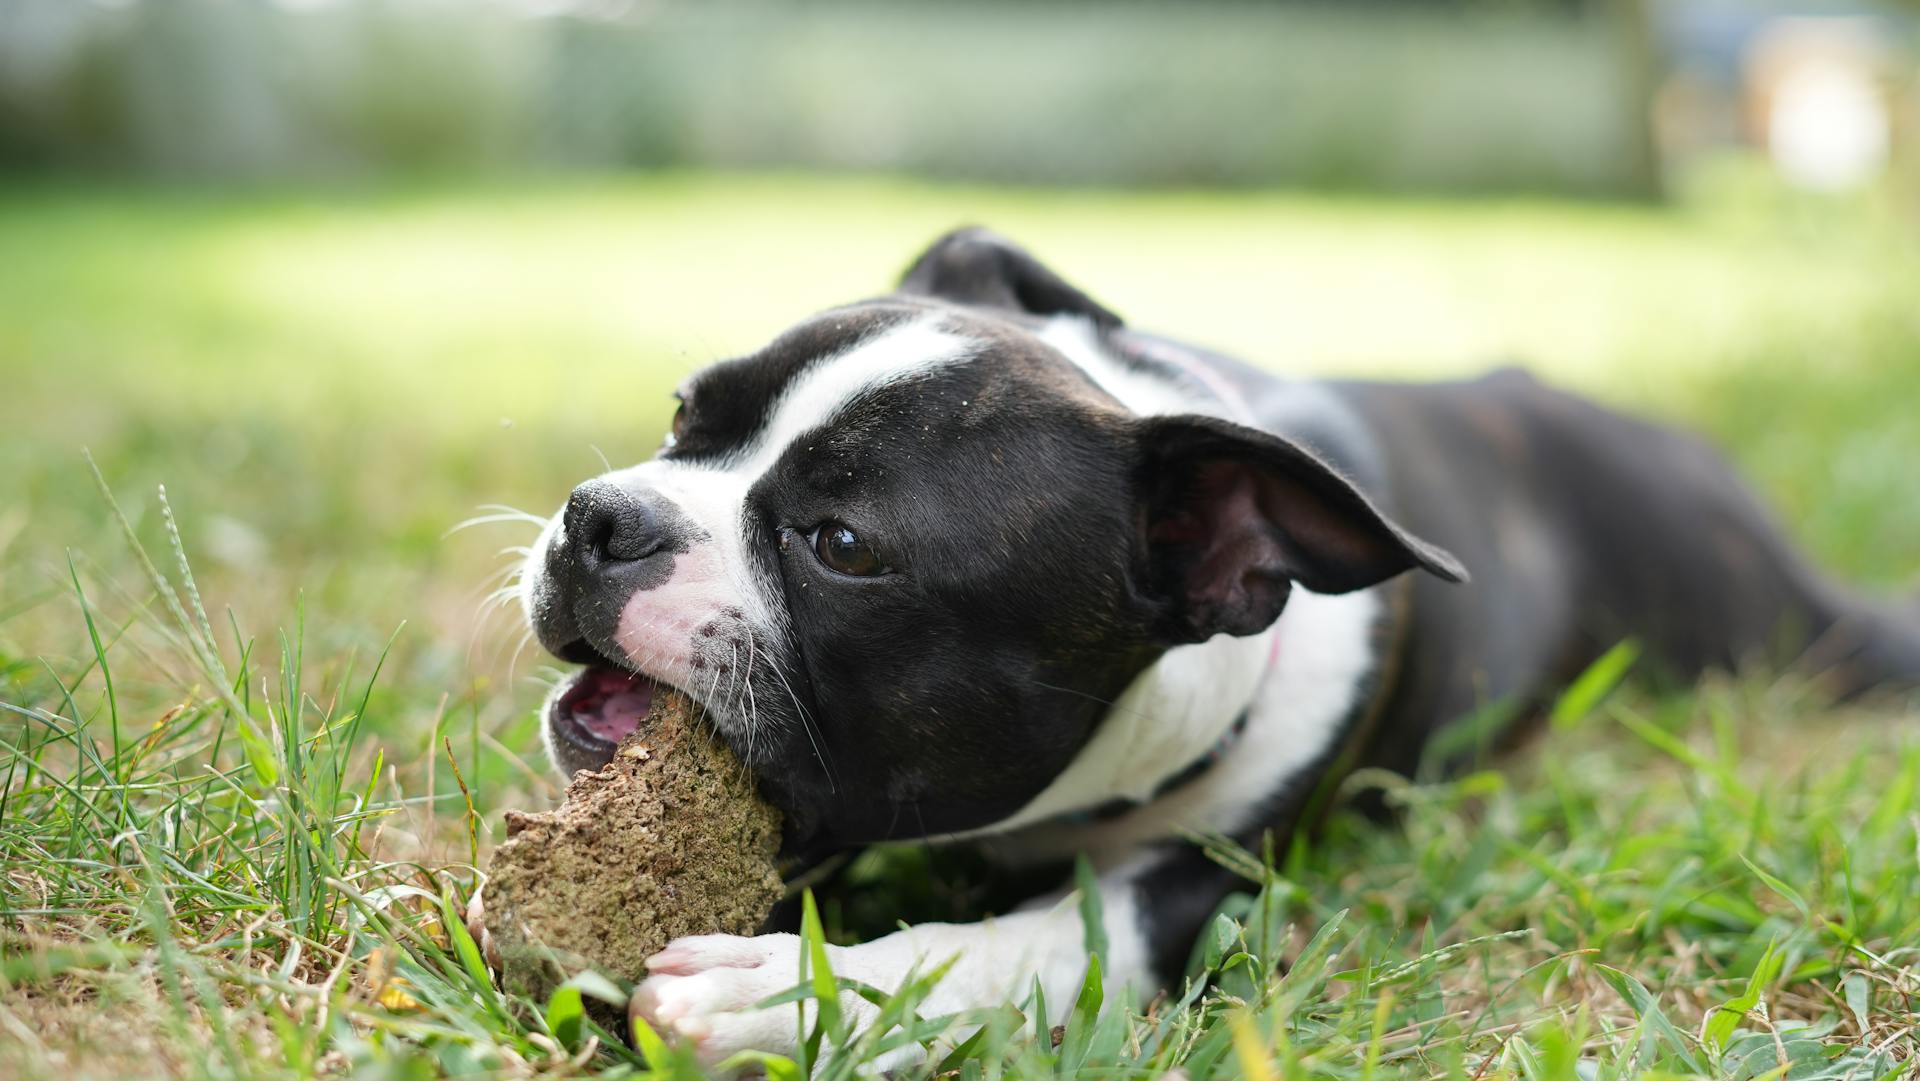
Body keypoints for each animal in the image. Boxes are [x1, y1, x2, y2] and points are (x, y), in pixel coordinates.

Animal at [506, 228, 1920, 1067]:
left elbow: (1038, 943)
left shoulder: (1218, 893)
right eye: (684, 413)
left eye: (842, 545)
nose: (601, 517)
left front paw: (785, 996)